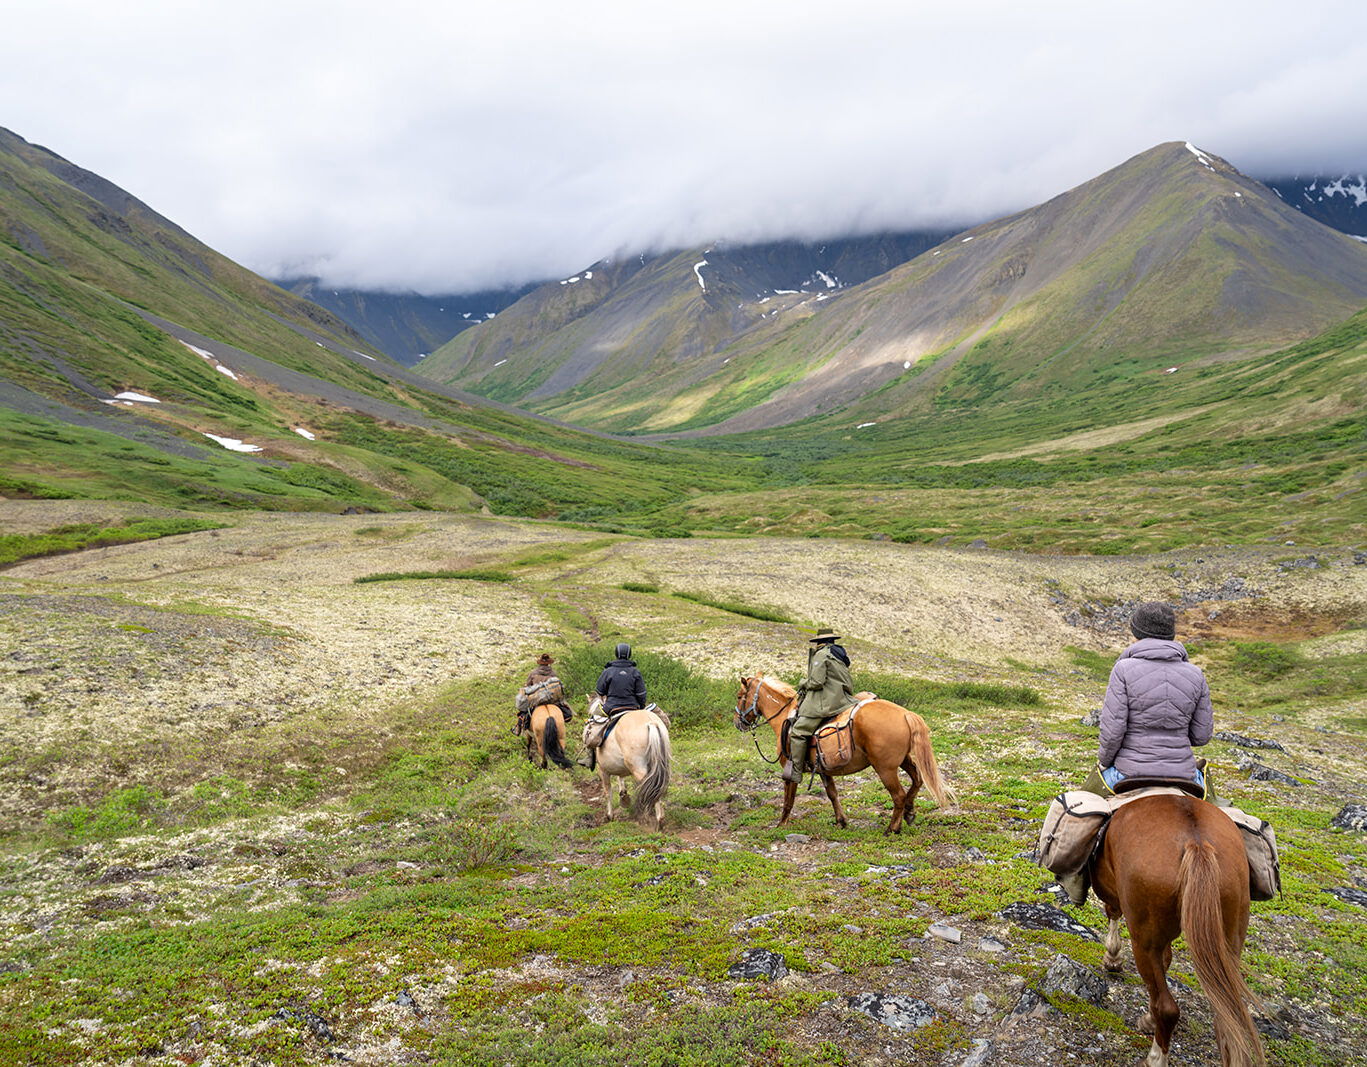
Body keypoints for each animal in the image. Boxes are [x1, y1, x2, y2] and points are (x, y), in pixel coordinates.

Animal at [585, 695, 671, 830]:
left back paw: (656, 819)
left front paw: (610, 815)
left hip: (638, 768)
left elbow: (608, 791)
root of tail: (651, 723)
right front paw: (624, 797)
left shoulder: (603, 770)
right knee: (657, 786)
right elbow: (621, 778)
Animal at [733, 674, 953, 833]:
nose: (737, 722)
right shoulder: (823, 770)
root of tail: (906, 714)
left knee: (898, 795)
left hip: (885, 768)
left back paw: (892, 828)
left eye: (739, 696)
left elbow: (789, 799)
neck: (785, 718)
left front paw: (781, 824)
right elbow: (832, 794)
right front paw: (841, 821)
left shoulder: (791, 768)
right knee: (917, 780)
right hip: (904, 760)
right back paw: (909, 813)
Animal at [1091, 793, 1265, 1067]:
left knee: (1167, 1007)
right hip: (1230, 938)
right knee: (1227, 1017)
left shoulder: (1112, 891)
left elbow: (1113, 914)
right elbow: (1167, 960)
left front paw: (1112, 958)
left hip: (1144, 942)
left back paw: (1155, 1058)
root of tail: (1197, 844)